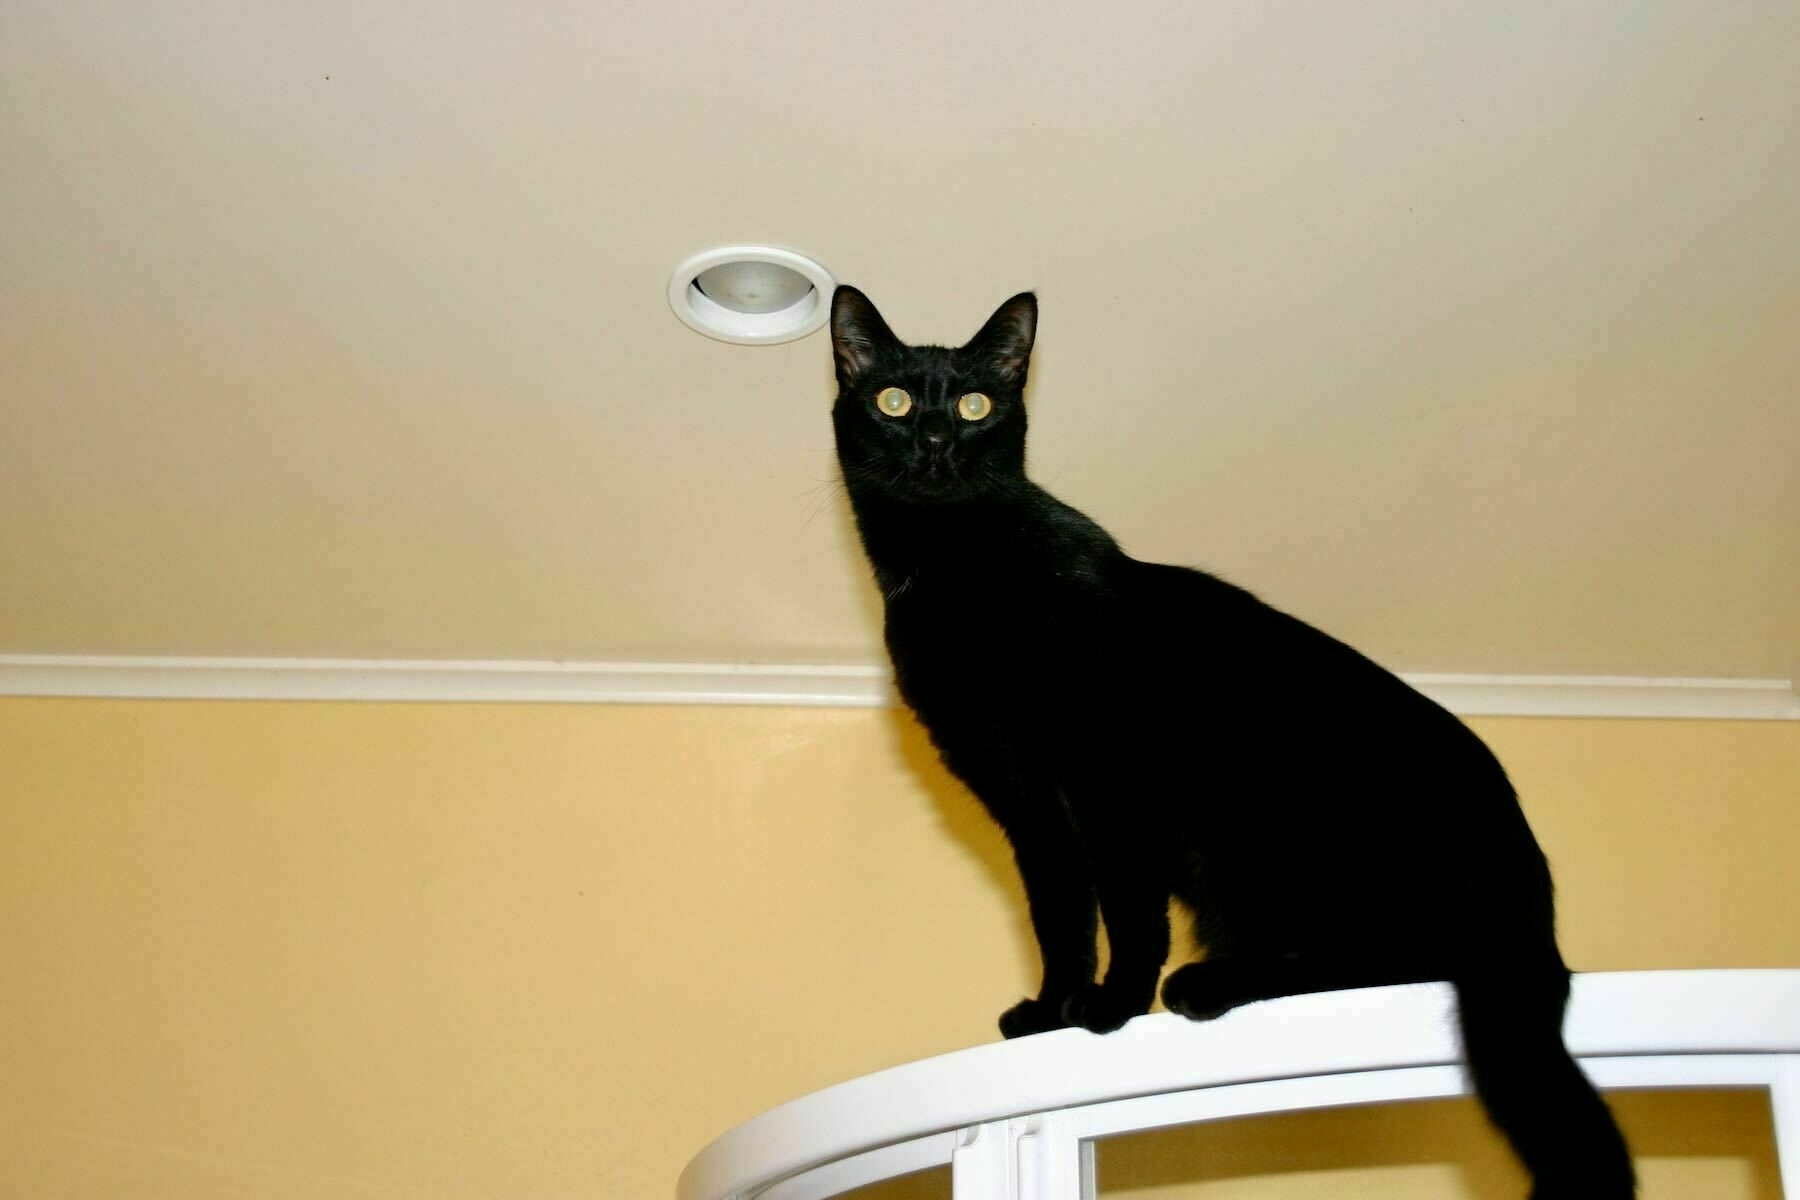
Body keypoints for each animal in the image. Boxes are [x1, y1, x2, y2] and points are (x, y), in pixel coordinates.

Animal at [824, 286, 1634, 1194]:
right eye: (894, 400)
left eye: (975, 405)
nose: (934, 439)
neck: (955, 572)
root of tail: (1530, 899)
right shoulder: (1024, 802)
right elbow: (1059, 915)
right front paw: (1049, 1012)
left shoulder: (1110, 780)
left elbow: (1127, 909)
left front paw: (1112, 1005)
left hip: (1260, 822)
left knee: (1389, 961)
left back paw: (1207, 983)